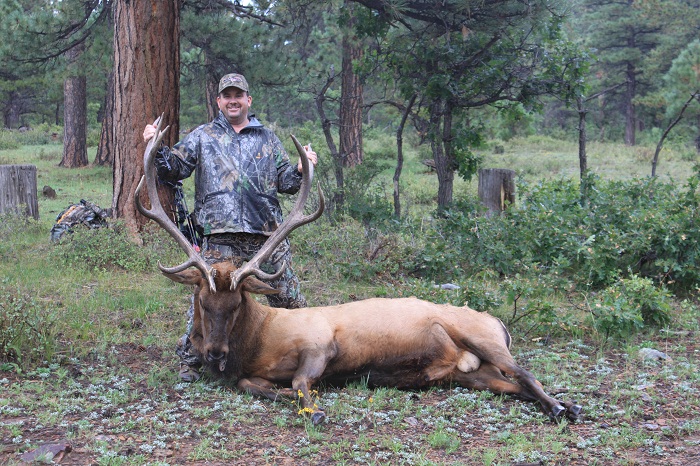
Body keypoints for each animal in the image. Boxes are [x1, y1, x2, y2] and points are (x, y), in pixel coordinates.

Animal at [136, 117, 582, 425]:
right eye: (202, 302)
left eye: (236, 305)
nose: (214, 353)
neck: (259, 343)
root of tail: (499, 322)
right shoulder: (252, 372)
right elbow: (255, 386)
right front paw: (286, 398)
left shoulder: (320, 343)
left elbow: (300, 382)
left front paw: (313, 410)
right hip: (471, 374)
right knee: (513, 384)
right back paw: (560, 405)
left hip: (484, 338)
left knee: (527, 372)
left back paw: (566, 406)